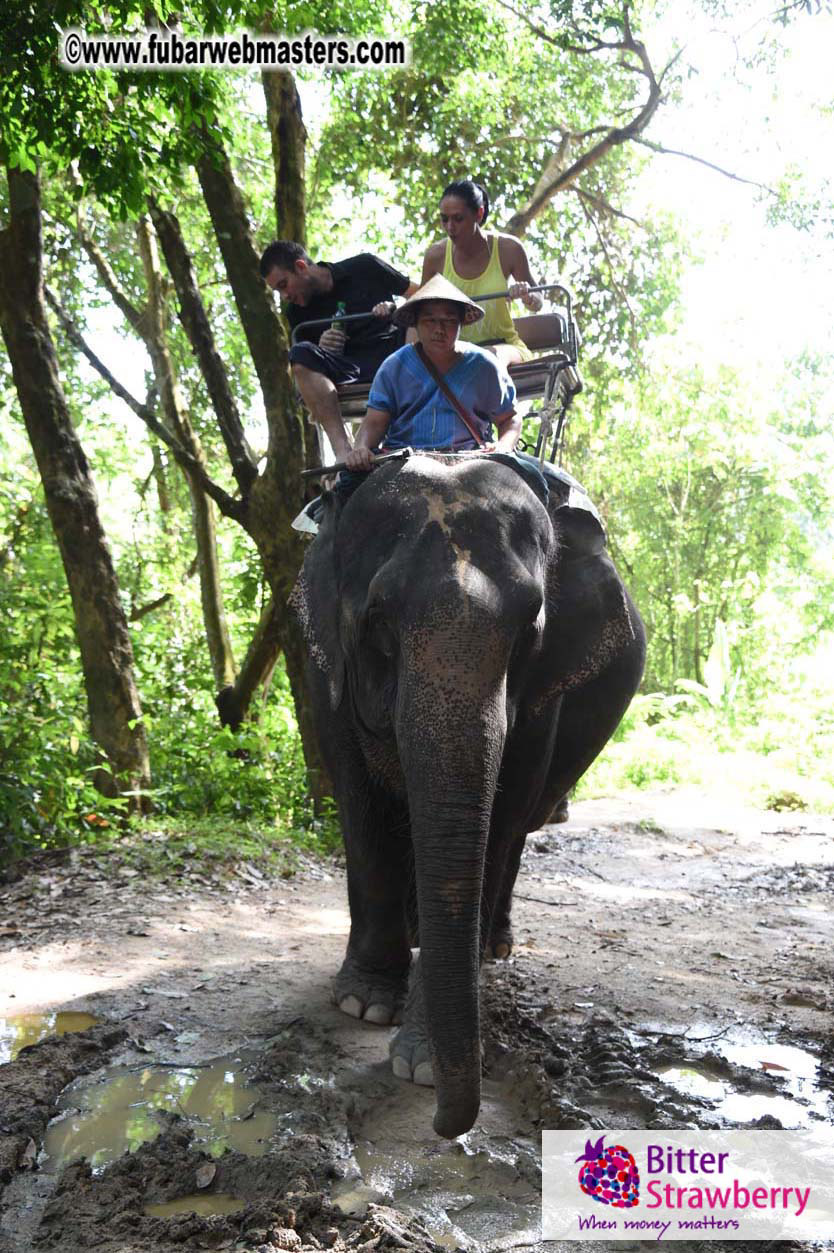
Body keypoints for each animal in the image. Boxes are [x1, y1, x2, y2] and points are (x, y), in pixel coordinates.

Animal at [290, 452, 645, 1139]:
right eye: (378, 623)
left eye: (531, 628)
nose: (442, 1124)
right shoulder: (324, 673)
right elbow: (360, 801)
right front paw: (363, 1005)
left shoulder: (543, 696)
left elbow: (499, 814)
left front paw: (421, 1064)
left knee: (518, 834)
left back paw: (492, 949)